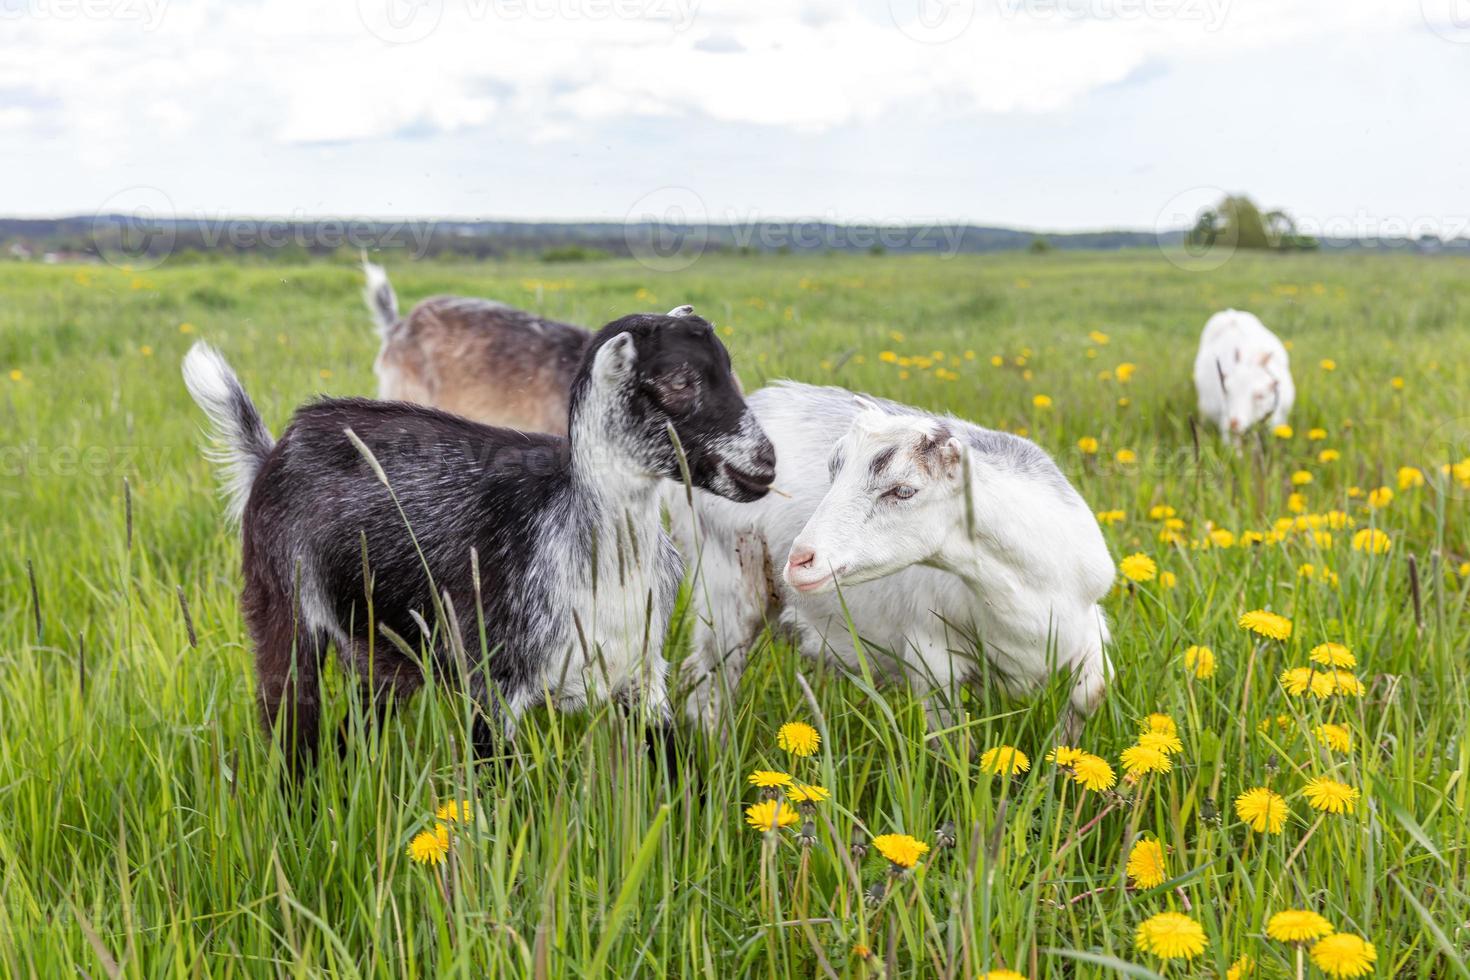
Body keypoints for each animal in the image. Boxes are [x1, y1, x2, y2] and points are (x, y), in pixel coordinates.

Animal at [185, 314, 782, 764]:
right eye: (679, 381)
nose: (766, 462)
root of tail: (273, 452)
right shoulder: (494, 687)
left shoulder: (641, 677)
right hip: (282, 609)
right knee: (290, 732)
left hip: (381, 653)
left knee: (349, 731)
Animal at [673, 382, 1111, 734]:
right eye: (833, 471)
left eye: (903, 491)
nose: (800, 561)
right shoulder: (930, 655)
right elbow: (951, 739)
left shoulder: (1088, 628)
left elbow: (1090, 695)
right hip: (726, 584)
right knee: (707, 685)